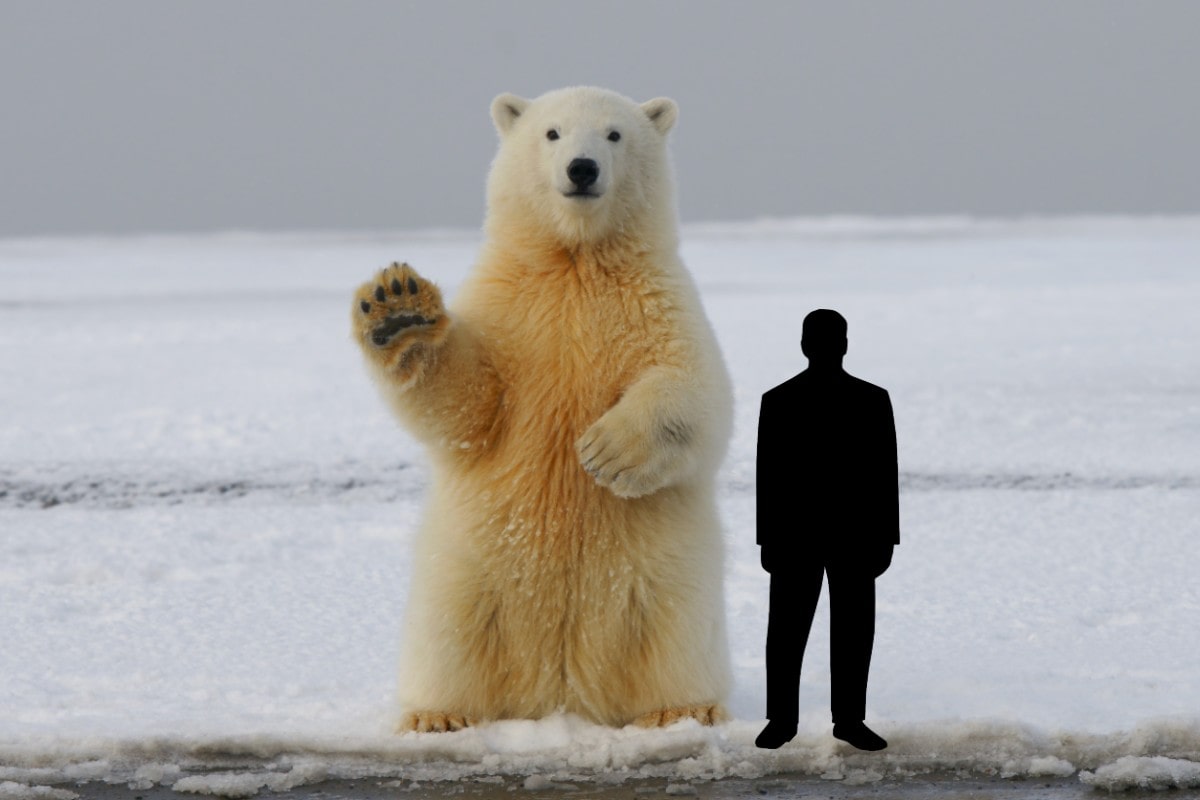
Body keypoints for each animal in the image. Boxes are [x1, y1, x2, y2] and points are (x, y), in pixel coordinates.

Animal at [351, 86, 733, 732]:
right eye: (551, 133)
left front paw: (606, 452)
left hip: (666, 577)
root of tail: (560, 692)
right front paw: (398, 309)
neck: (574, 260)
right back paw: (437, 715)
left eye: (614, 134)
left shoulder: (658, 301)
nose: (582, 169)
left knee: (674, 634)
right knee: (449, 637)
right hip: (467, 572)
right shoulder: (510, 309)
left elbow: (696, 390)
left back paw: (683, 709)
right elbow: (469, 404)